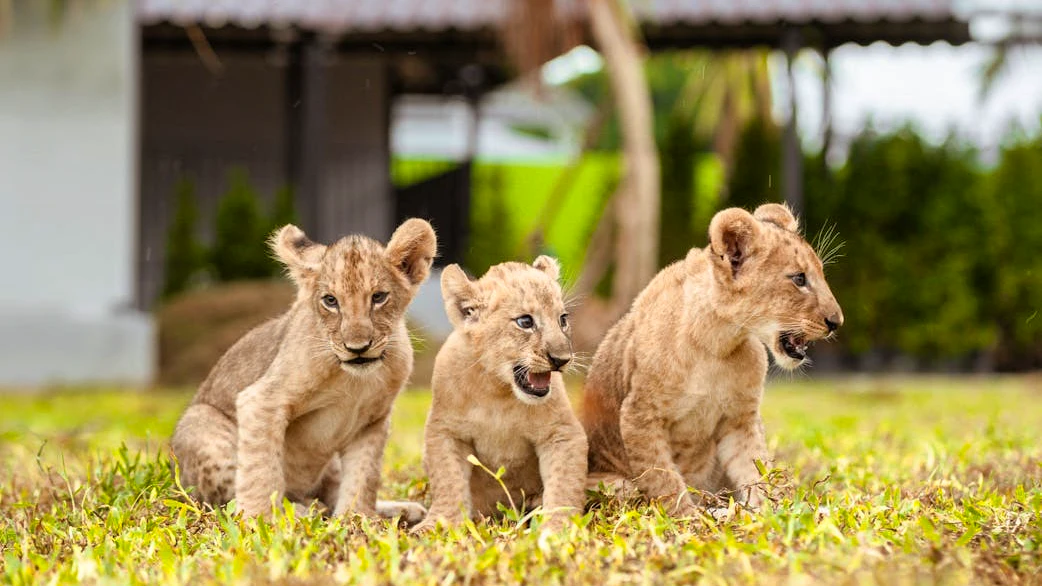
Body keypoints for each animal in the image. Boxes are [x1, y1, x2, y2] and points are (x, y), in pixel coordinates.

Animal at [169, 219, 436, 523]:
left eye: (378, 297)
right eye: (330, 301)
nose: (357, 348)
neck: (355, 380)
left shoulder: (372, 421)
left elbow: (363, 476)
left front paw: (356, 519)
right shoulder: (262, 400)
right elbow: (260, 469)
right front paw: (258, 518)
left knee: (331, 494)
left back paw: (398, 510)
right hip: (200, 423)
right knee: (226, 500)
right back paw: (298, 510)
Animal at [412, 257, 588, 533]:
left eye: (562, 319)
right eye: (525, 322)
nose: (562, 359)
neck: (497, 389)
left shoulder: (562, 433)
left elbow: (564, 484)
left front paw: (558, 528)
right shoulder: (445, 431)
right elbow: (448, 481)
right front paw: (439, 523)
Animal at [582, 204, 843, 515]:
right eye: (799, 279)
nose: (837, 322)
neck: (716, 342)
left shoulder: (740, 419)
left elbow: (756, 470)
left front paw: (772, 512)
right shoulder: (640, 416)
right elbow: (664, 480)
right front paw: (688, 518)